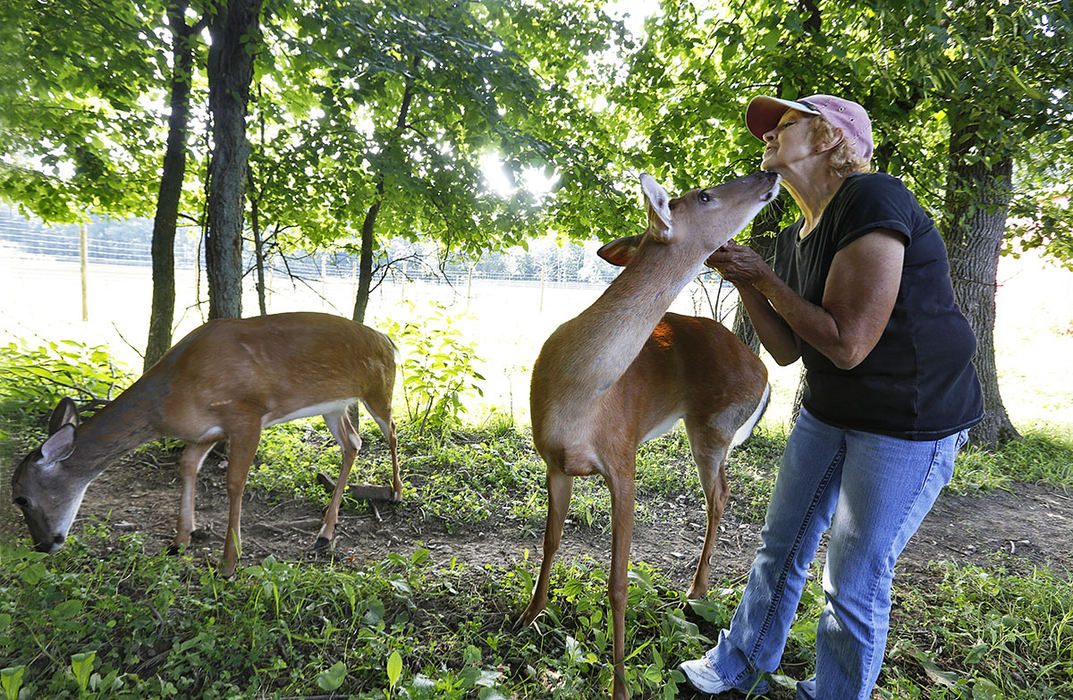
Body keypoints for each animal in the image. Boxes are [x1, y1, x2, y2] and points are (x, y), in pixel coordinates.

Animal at [7, 311, 403, 575]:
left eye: (21, 497)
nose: (42, 545)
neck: (168, 398)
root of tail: (388, 340)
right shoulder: (206, 433)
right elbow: (186, 467)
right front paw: (180, 540)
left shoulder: (246, 414)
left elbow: (235, 483)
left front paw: (229, 563)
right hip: (334, 406)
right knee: (353, 442)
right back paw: (324, 533)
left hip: (379, 390)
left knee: (391, 431)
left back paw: (396, 493)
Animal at [519, 170, 781, 700]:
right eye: (704, 195)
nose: (770, 172)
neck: (579, 397)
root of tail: (763, 371)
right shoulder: (555, 461)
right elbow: (550, 542)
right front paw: (526, 618)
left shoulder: (623, 461)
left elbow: (618, 583)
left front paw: (619, 685)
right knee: (723, 491)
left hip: (712, 426)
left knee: (719, 494)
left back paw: (696, 590)